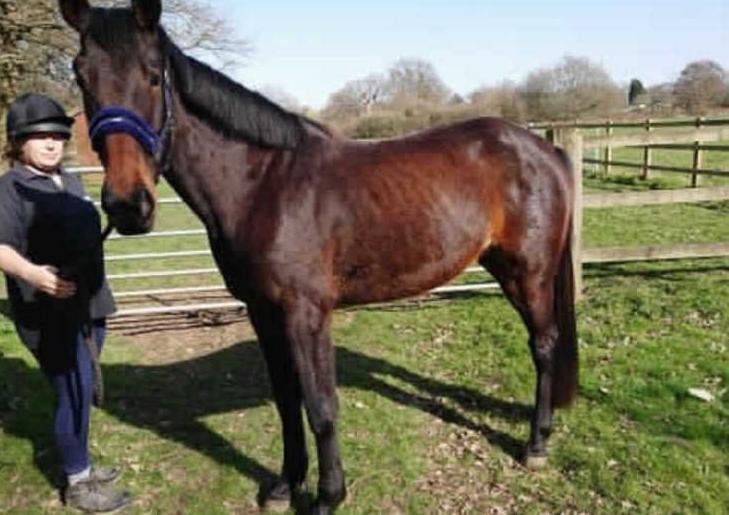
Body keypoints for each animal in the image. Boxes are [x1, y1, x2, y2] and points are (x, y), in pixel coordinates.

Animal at [59, 1, 578, 512]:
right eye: (81, 75)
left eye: (152, 75)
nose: (128, 205)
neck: (263, 185)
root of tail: (542, 148)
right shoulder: (263, 311)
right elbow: (287, 401)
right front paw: (285, 486)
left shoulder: (306, 313)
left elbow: (320, 406)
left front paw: (329, 496)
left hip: (529, 274)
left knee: (544, 344)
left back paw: (535, 444)